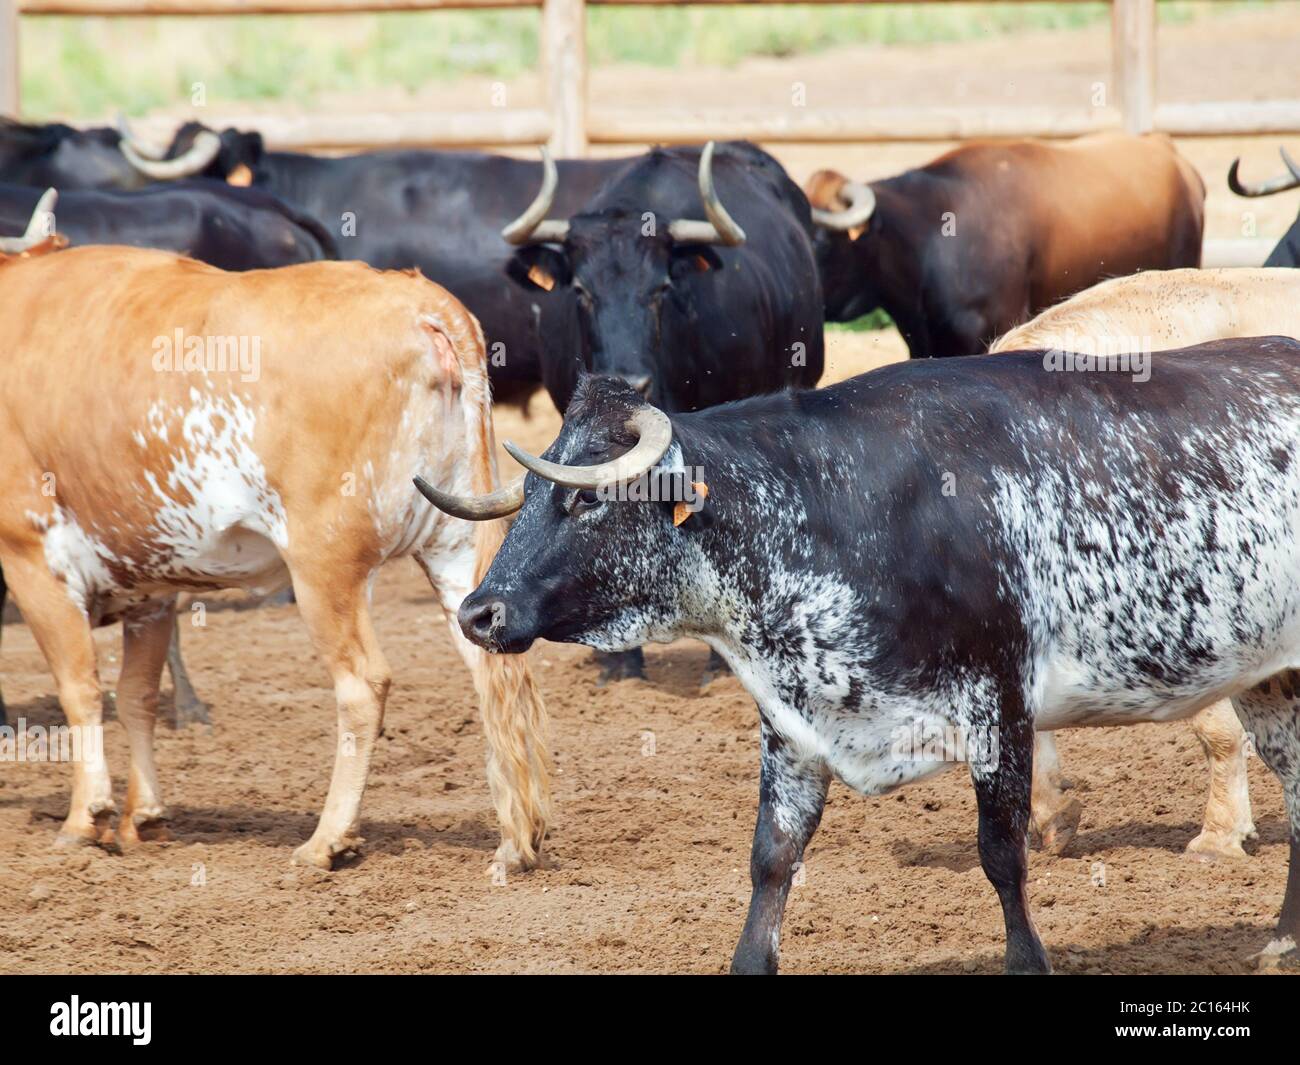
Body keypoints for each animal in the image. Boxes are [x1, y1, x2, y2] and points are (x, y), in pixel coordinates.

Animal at [0, 242, 551, 871]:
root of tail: (420, 301)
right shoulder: (151, 584)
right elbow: (136, 697)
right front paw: (143, 818)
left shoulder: (31, 555)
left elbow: (81, 689)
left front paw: (83, 819)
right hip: (457, 546)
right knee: (493, 667)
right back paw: (516, 840)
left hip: (322, 565)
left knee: (363, 685)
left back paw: (326, 839)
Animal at [419, 345, 1300, 974]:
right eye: (535, 496)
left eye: (586, 497)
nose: (479, 612)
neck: (827, 508)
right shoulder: (792, 727)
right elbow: (771, 861)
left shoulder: (1000, 709)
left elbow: (1001, 858)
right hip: (1270, 682)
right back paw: (1282, 940)